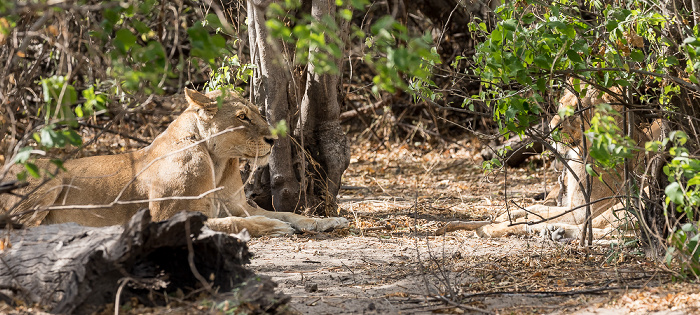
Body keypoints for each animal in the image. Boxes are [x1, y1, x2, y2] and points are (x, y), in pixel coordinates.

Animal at [0, 89, 350, 237]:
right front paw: (273, 227)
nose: (273, 140)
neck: (218, 162)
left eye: (257, 112)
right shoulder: (165, 218)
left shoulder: (240, 205)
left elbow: (290, 212)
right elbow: (236, 222)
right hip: (51, 178)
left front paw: (326, 221)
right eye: (242, 117)